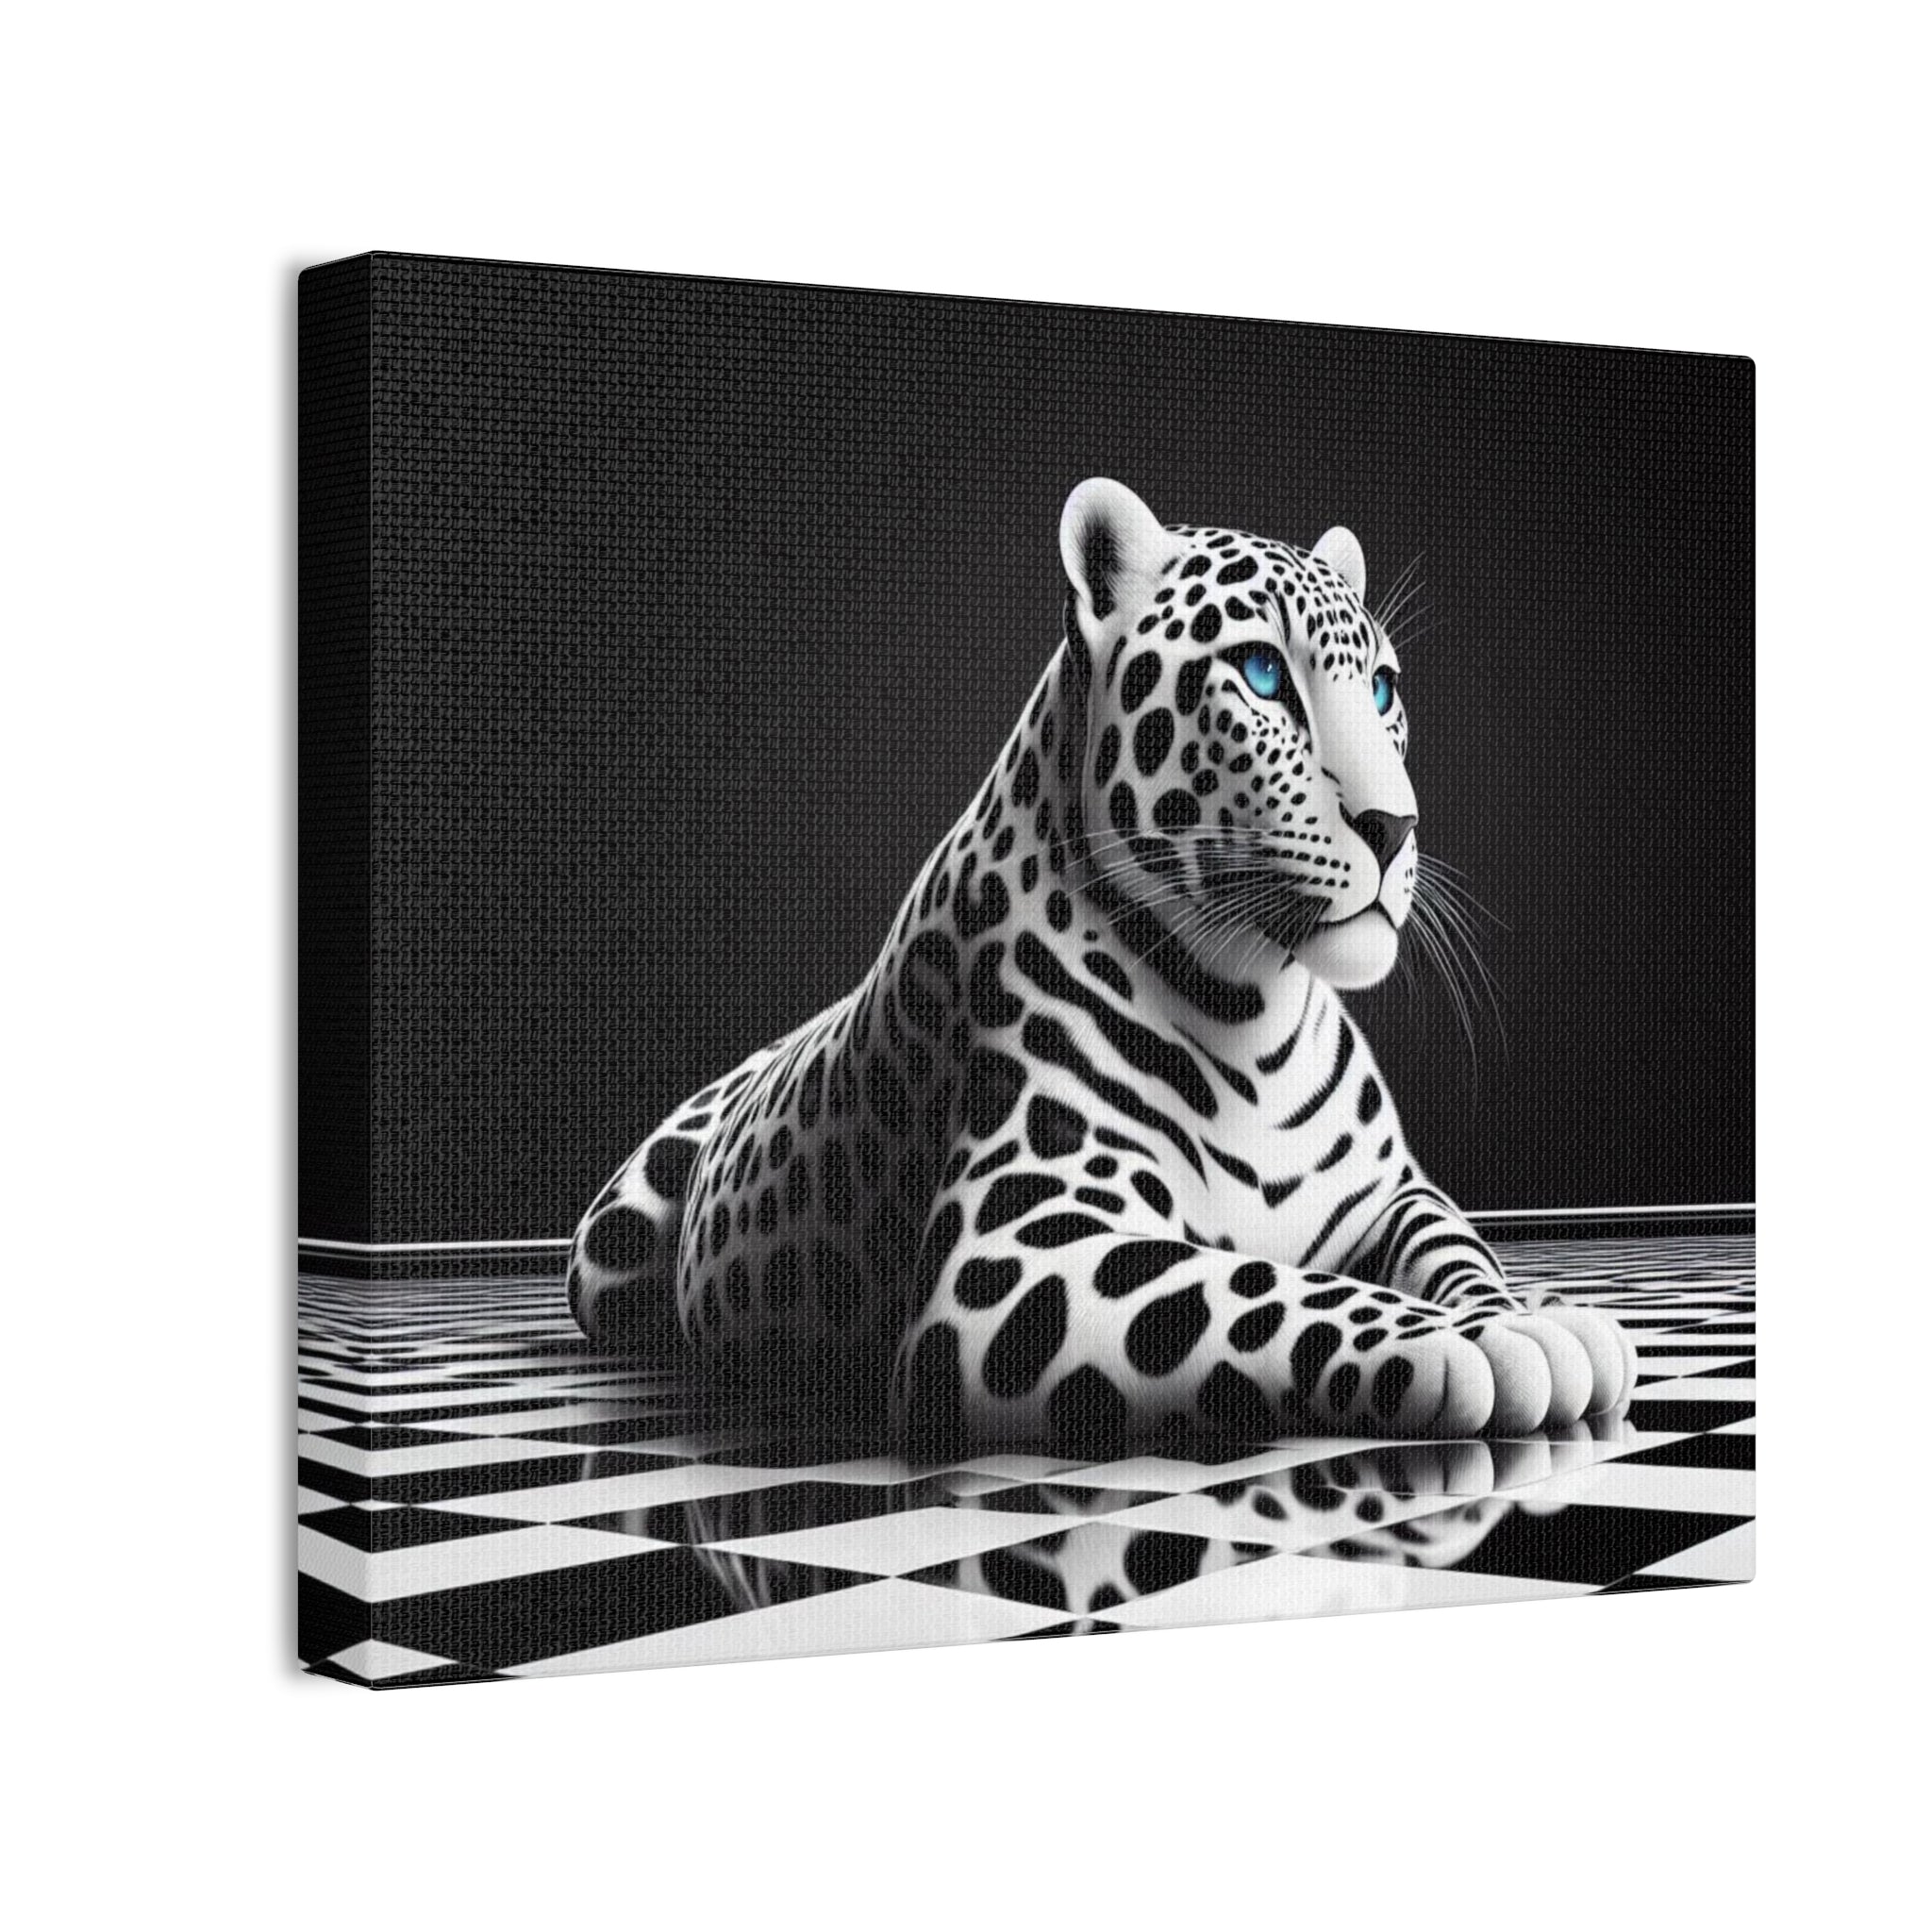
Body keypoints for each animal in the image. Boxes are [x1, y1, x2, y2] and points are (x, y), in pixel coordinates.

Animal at [566, 479, 1638, 1453]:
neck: (1255, 1011)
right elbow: (1265, 1287)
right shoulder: (1014, 1252)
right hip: (605, 1251)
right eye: (1260, 673)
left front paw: (1521, 1309)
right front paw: (1491, 1342)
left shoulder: (1391, 1196)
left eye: (1381, 689)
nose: (1395, 825)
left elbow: (1457, 1249)